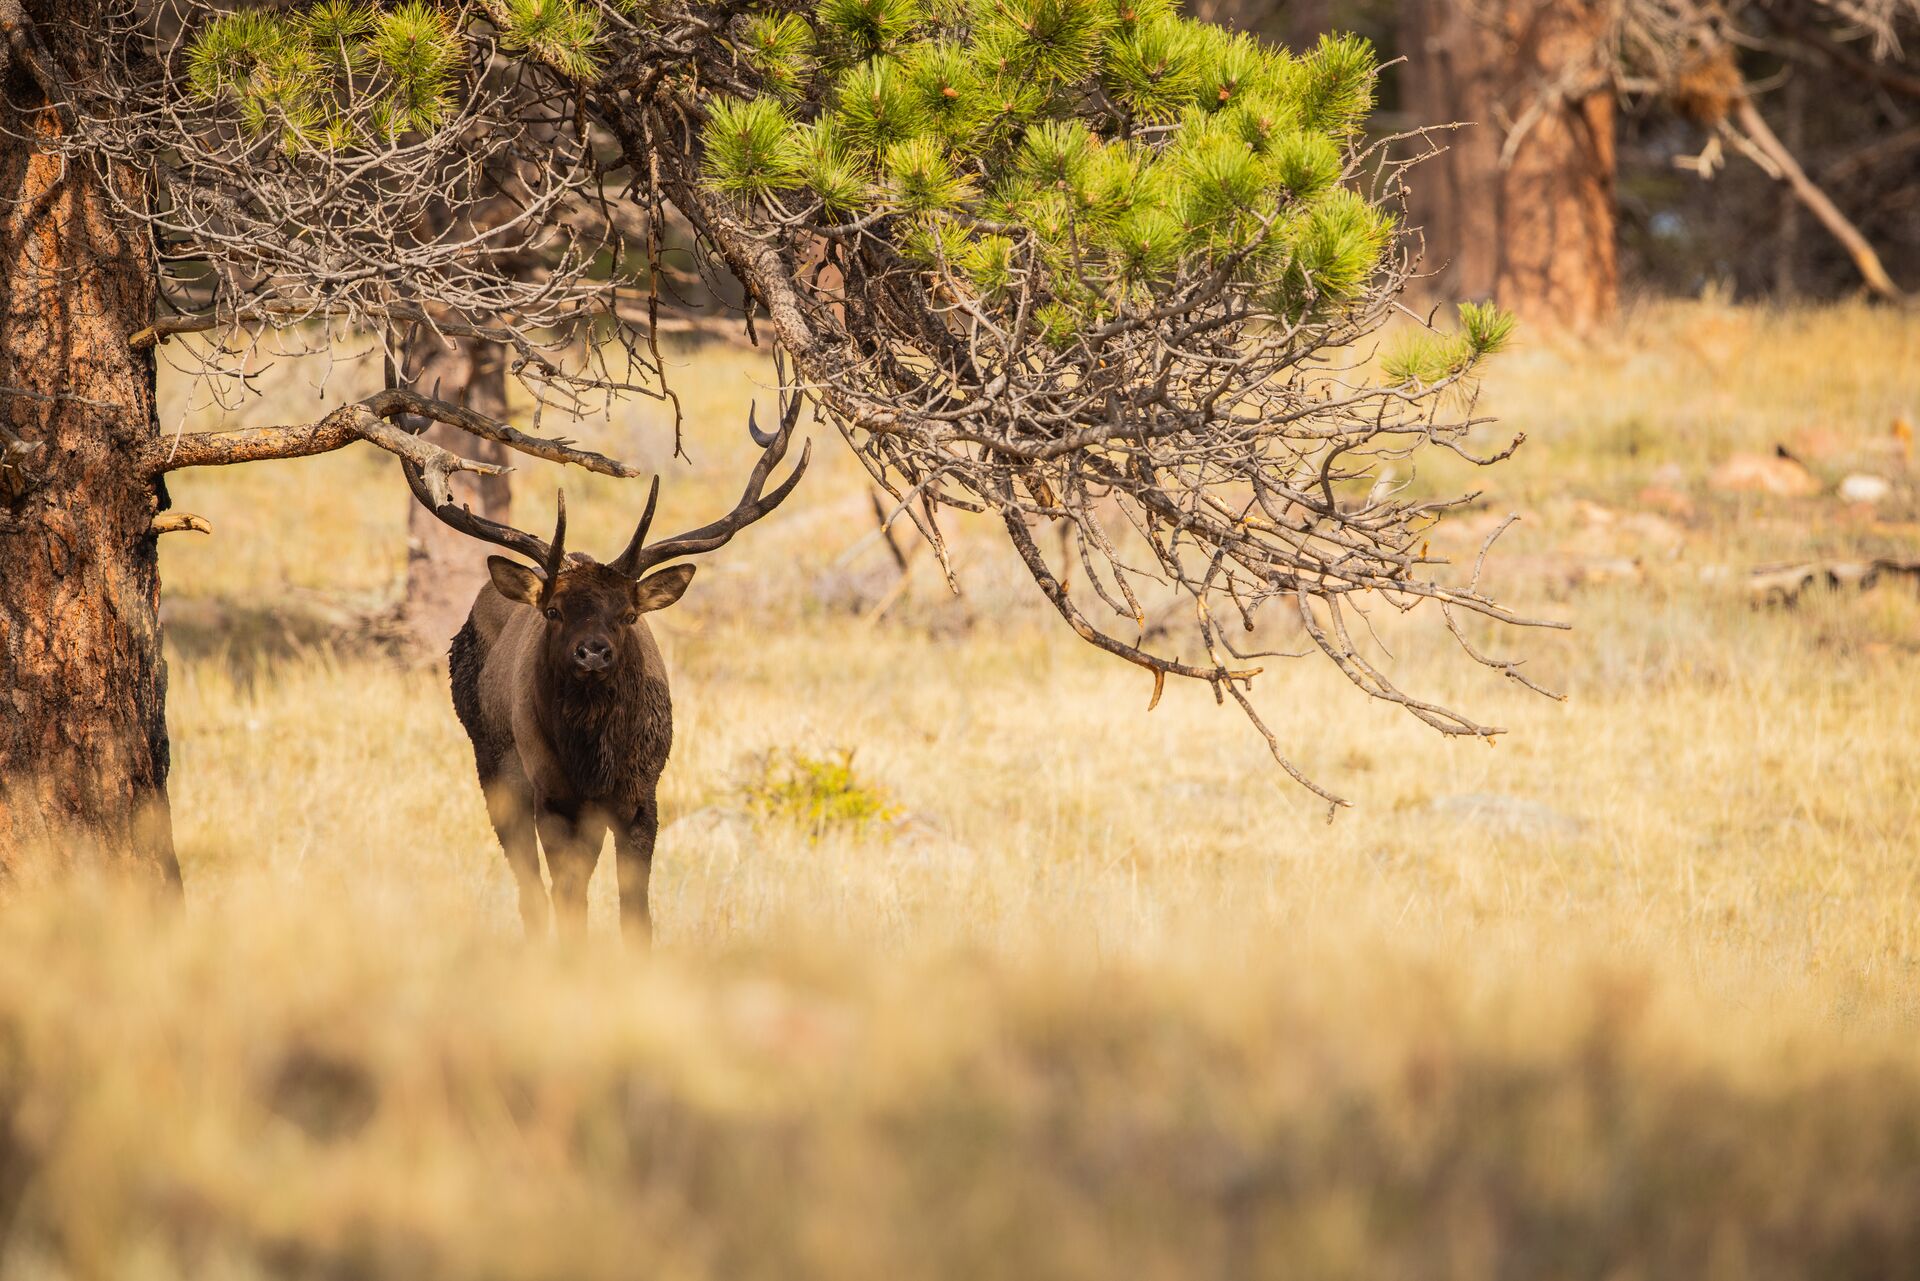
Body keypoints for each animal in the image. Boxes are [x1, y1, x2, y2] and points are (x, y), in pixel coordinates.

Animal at [422, 394, 808, 941]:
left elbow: (636, 913)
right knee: (531, 890)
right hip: (493, 765)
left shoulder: (642, 795)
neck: (595, 760)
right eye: (554, 611)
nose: (593, 653)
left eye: (627, 614)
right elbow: (568, 902)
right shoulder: (553, 796)